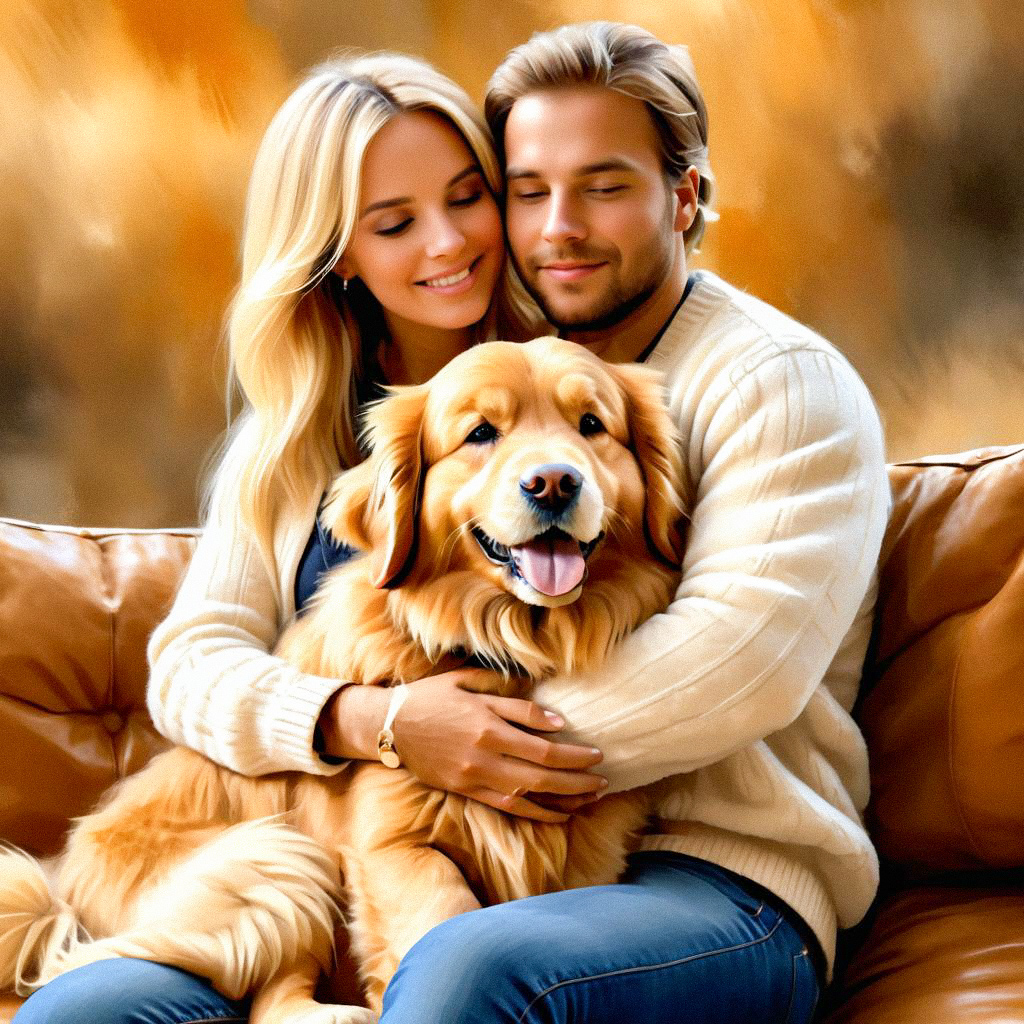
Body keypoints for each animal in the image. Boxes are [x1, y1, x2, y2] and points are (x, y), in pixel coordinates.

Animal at [2, 335, 688, 1024]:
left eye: (592, 425)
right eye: (480, 433)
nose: (554, 483)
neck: (503, 642)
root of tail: (63, 895)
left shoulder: (592, 850)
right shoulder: (394, 845)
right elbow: (439, 920)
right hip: (277, 857)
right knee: (265, 995)